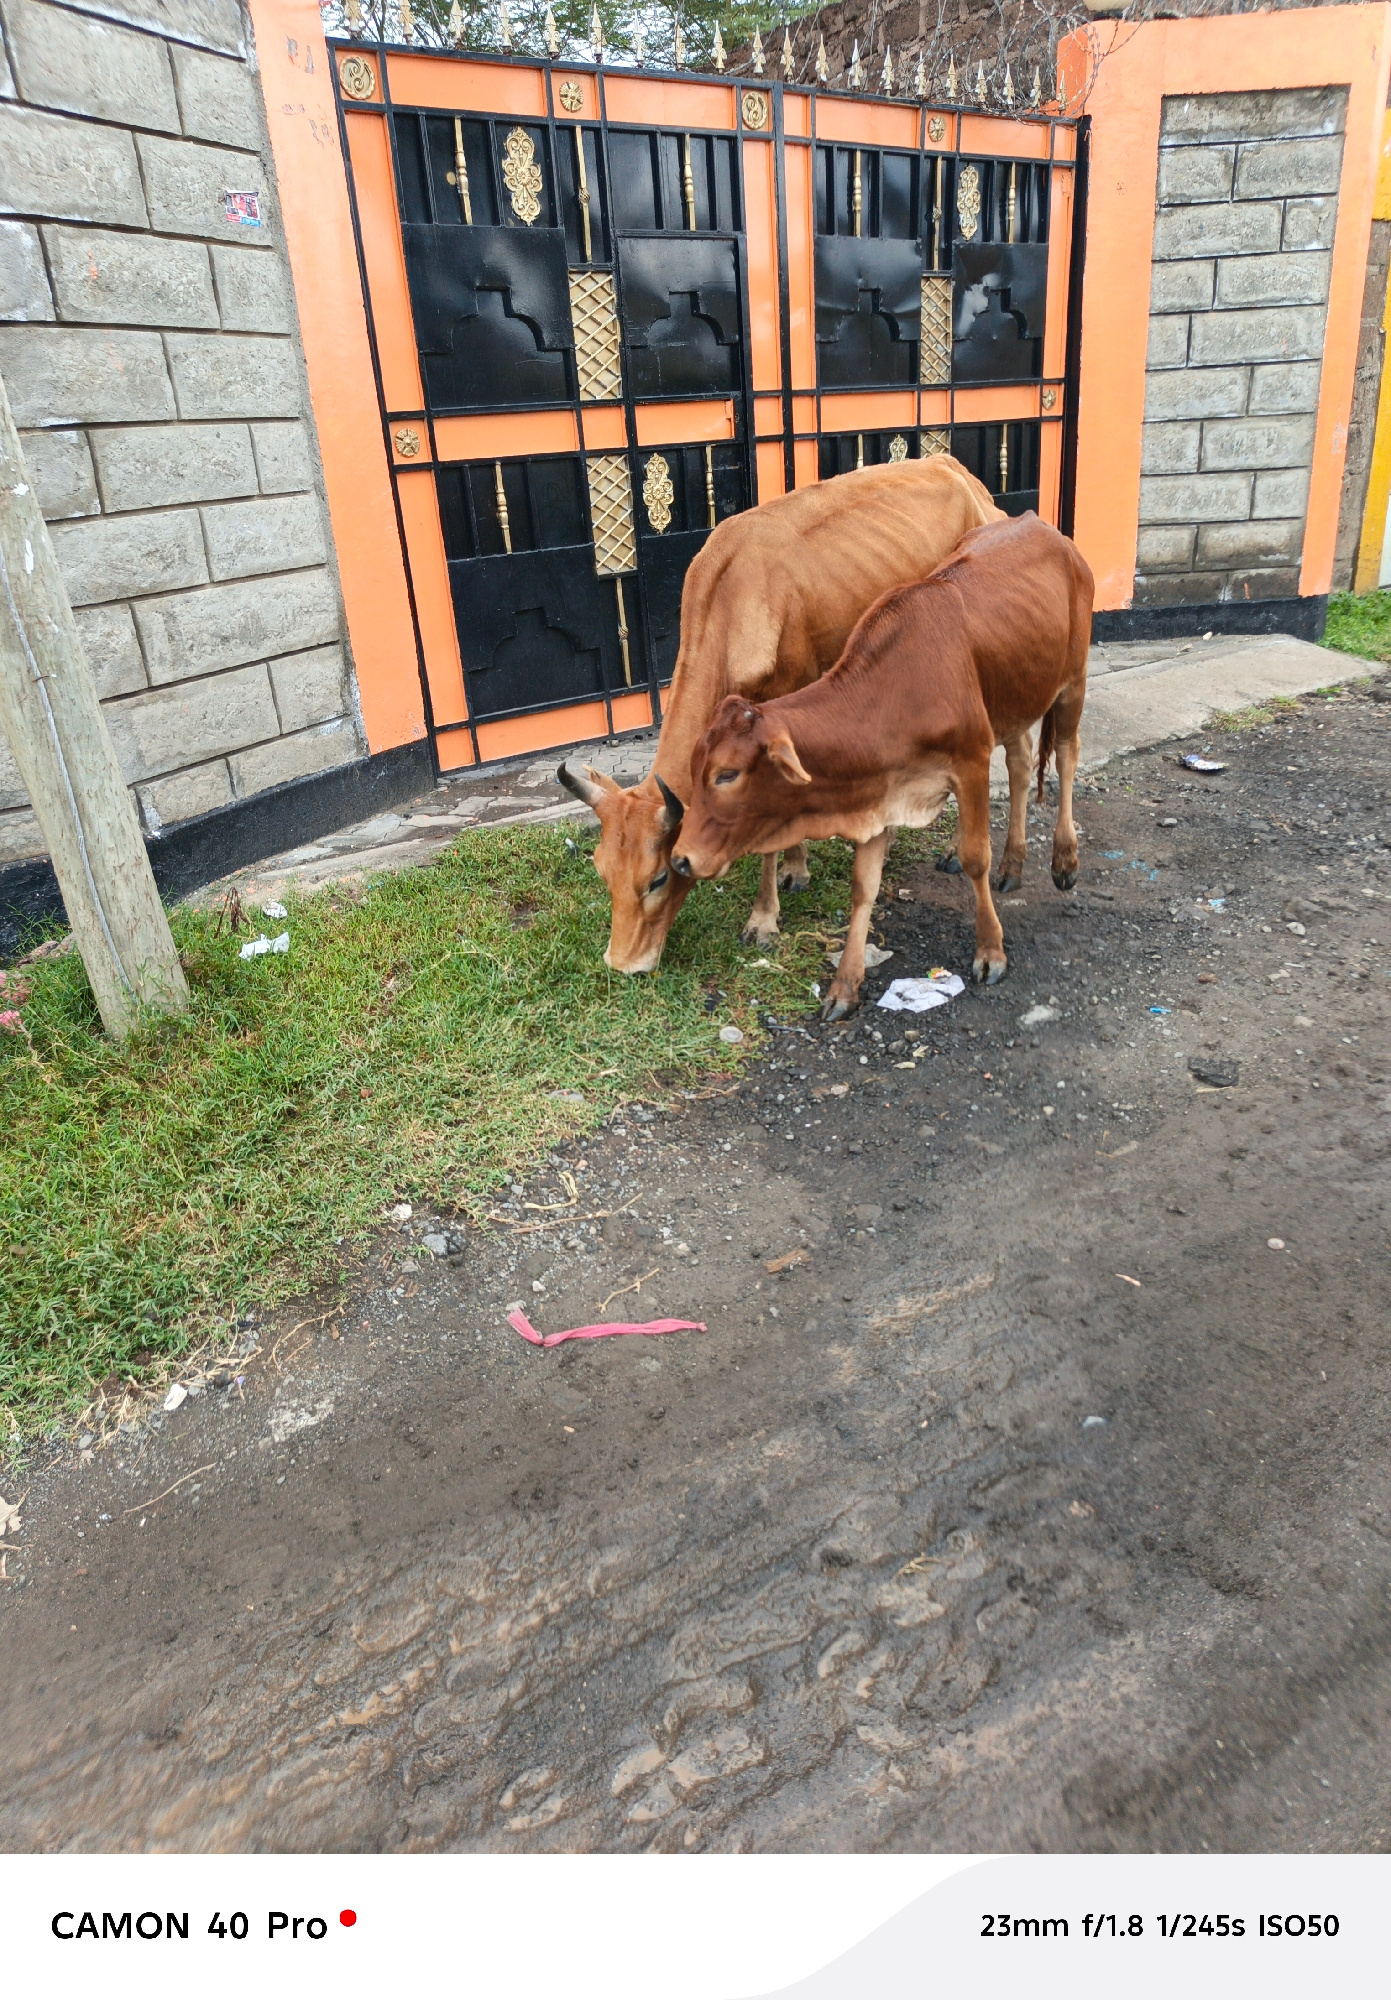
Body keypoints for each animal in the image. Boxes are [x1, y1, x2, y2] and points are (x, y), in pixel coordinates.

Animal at [557, 455, 1002, 974]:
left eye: (659, 878)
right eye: (601, 870)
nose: (623, 964)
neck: (734, 596)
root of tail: (952, 467)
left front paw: (764, 919)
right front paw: (795, 868)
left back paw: (953, 847)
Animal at [671, 513, 1093, 1020]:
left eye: (727, 774)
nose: (679, 859)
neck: (898, 690)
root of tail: (1041, 525)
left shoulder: (970, 762)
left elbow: (976, 859)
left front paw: (991, 950)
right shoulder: (881, 792)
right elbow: (863, 887)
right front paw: (845, 986)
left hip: (1072, 683)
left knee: (1066, 758)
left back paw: (1064, 858)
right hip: (1014, 700)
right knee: (1021, 764)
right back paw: (1013, 863)